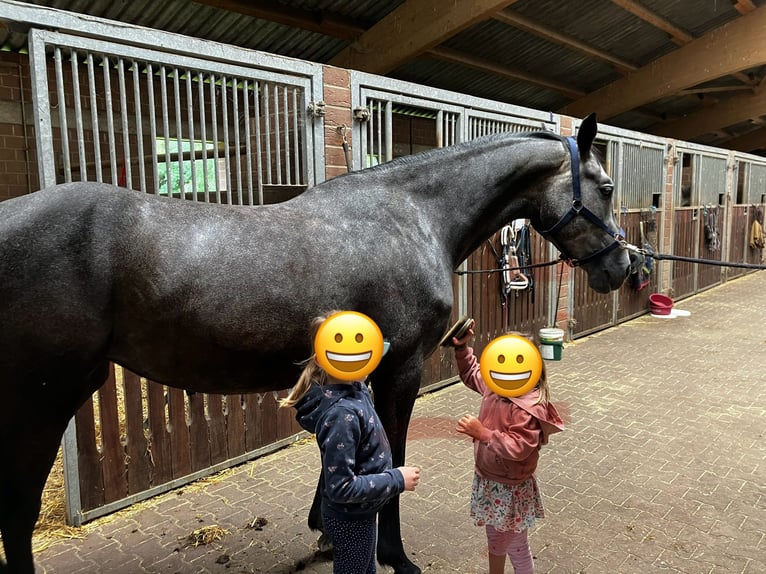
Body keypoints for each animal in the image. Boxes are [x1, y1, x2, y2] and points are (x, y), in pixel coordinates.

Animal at [0, 113, 636, 574]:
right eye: (605, 187)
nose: (625, 266)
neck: (413, 217)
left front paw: (329, 531)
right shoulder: (402, 369)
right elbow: (392, 454)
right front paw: (394, 556)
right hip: (41, 399)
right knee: (17, 510)